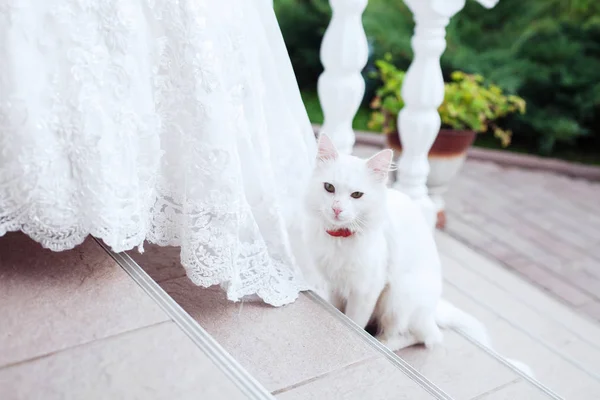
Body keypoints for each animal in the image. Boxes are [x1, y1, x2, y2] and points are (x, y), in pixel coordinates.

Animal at [302, 137, 532, 376]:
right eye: (329, 188)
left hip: (399, 296)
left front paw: (355, 338)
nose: (337, 209)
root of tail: (432, 310)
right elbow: (337, 310)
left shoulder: (365, 290)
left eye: (356, 195)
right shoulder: (334, 285)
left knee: (423, 337)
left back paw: (382, 342)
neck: (340, 238)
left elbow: (353, 321)